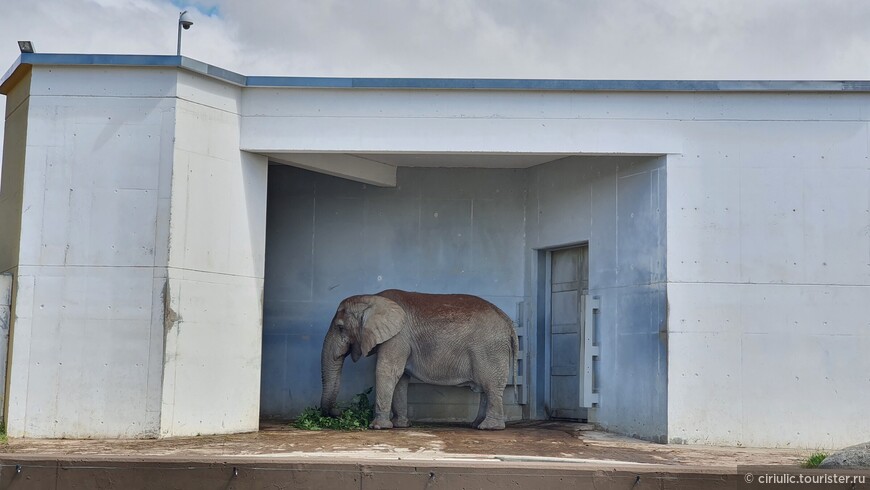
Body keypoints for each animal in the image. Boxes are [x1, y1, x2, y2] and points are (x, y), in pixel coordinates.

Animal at [324, 290, 520, 430]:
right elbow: (401, 377)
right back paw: (477, 425)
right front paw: (401, 425)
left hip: (490, 350)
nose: (338, 412)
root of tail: (508, 321)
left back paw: (489, 428)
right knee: (486, 388)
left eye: (340, 328)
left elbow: (387, 371)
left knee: (491, 386)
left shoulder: (398, 337)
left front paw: (379, 427)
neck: (373, 298)